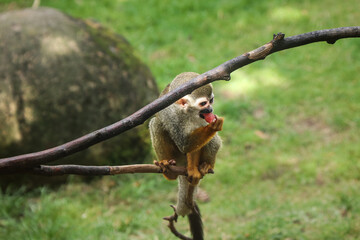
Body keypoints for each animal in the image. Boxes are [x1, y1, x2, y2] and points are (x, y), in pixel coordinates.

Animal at [148, 71, 222, 240]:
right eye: (203, 103)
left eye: (211, 100)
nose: (210, 110)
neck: (187, 113)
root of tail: (180, 164)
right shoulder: (171, 114)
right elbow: (185, 143)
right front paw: (213, 126)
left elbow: (194, 146)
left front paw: (194, 171)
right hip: (175, 157)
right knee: (156, 124)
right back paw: (168, 170)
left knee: (213, 140)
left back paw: (205, 166)